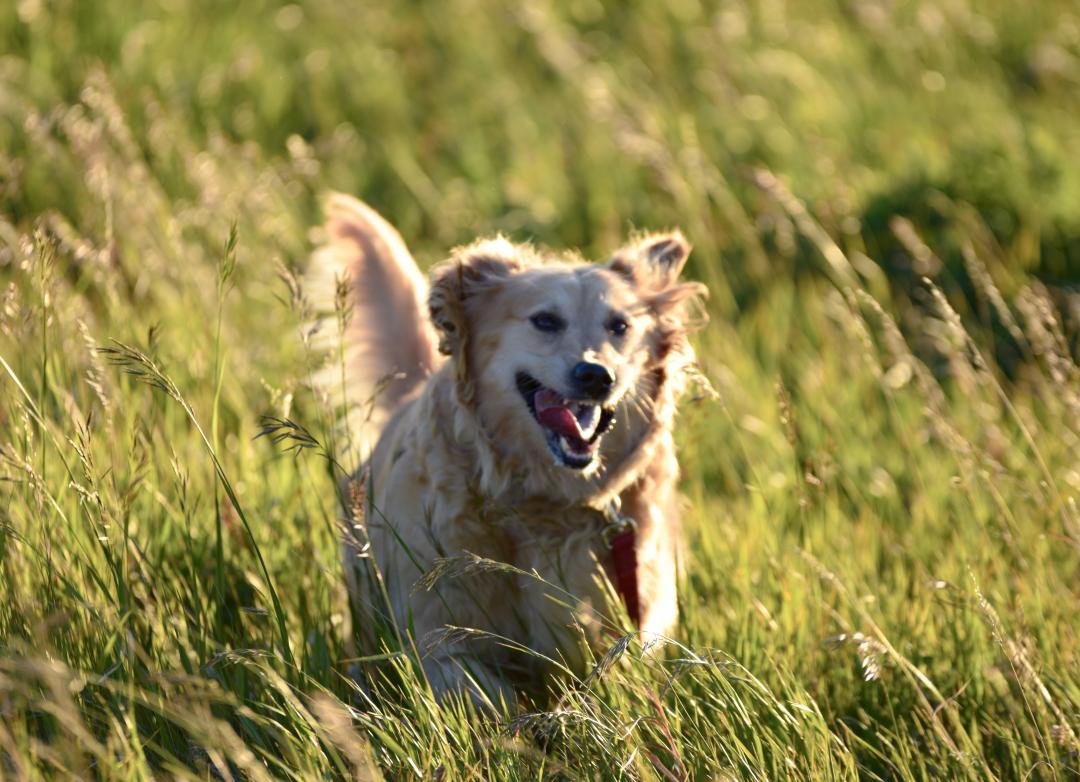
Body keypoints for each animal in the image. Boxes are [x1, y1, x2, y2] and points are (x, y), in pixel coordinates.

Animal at [306, 195, 708, 708]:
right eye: (545, 321)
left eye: (620, 326)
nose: (597, 375)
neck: (543, 498)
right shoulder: (440, 632)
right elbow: (488, 695)